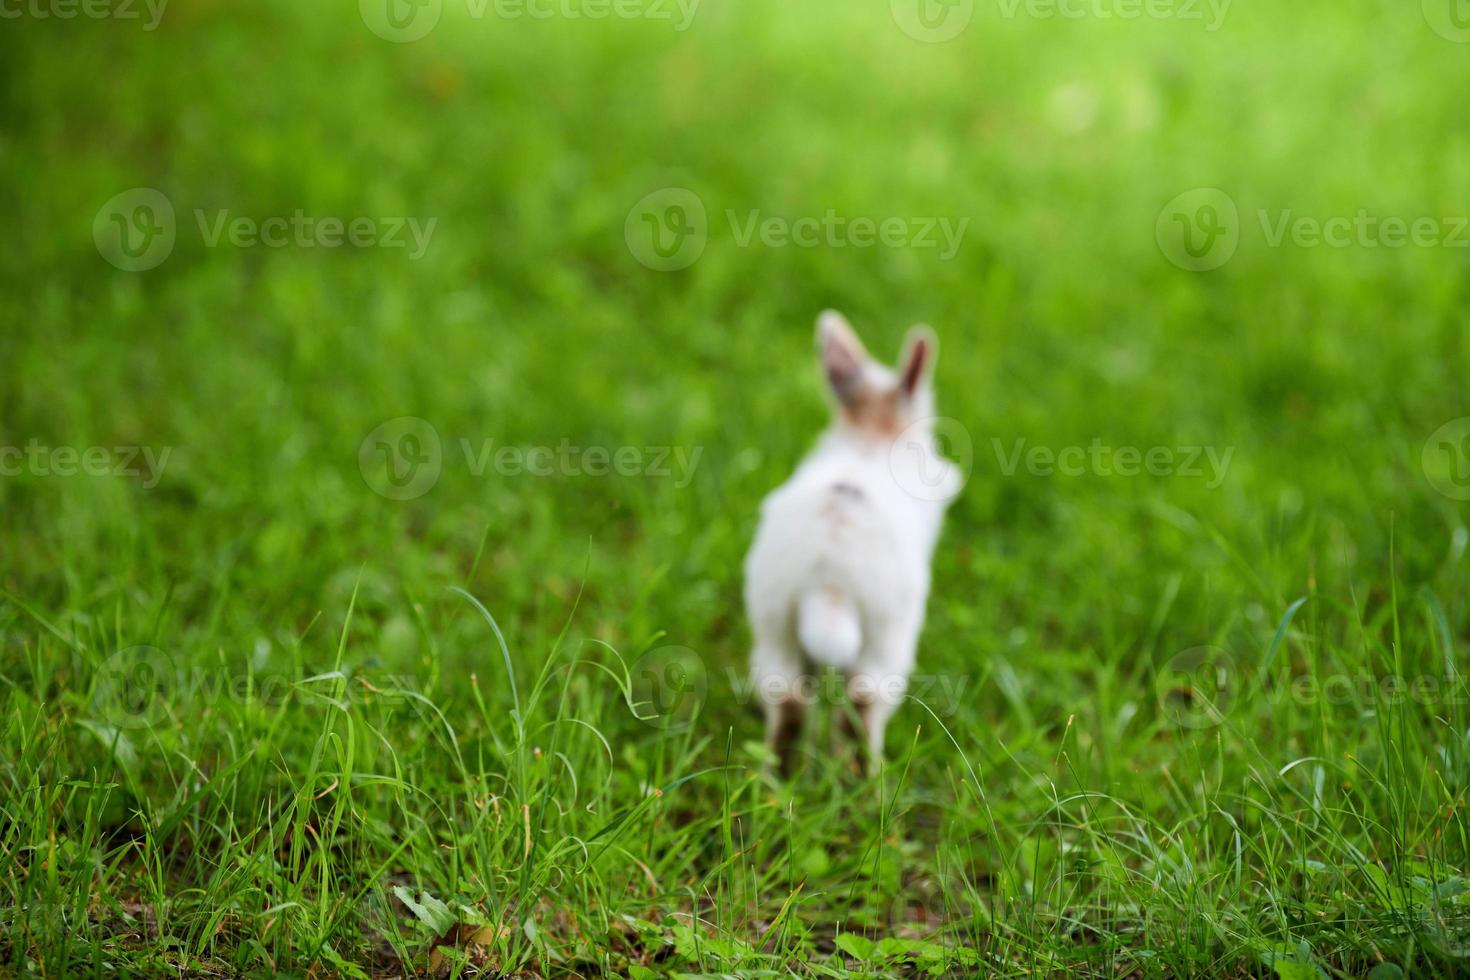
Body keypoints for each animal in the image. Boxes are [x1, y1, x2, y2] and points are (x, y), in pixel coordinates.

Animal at [740, 310, 958, 775]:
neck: (871, 432)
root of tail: (828, 578)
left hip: (774, 626)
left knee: (789, 701)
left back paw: (777, 777)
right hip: (886, 638)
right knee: (862, 705)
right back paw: (866, 778)